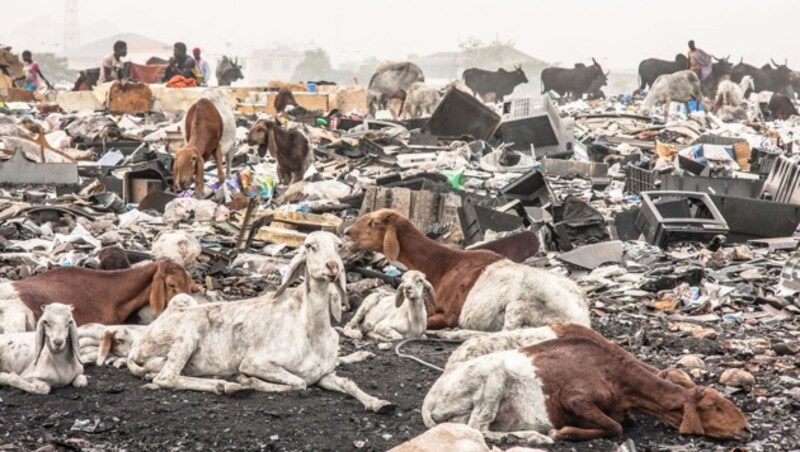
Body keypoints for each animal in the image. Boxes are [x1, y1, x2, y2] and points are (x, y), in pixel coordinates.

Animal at [124, 233, 394, 414]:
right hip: (187, 334)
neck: (312, 331)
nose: (332, 267)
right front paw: (247, 381)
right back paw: (229, 386)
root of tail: (138, 344)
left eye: (338, 246)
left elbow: (347, 382)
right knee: (166, 377)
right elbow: (299, 383)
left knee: (159, 372)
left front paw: (379, 403)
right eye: (310, 246)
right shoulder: (256, 362)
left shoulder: (323, 374)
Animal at [344, 209, 588, 332]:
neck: (444, 265)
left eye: (374, 223)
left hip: (522, 303)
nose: (346, 232)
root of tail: (580, 316)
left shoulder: (449, 314)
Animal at [422, 338, 752, 444]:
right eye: (715, 407)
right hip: (493, 376)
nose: (747, 429)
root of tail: (430, 400)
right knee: (478, 427)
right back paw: (529, 436)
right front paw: (563, 432)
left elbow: (622, 422)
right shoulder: (575, 397)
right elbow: (615, 427)